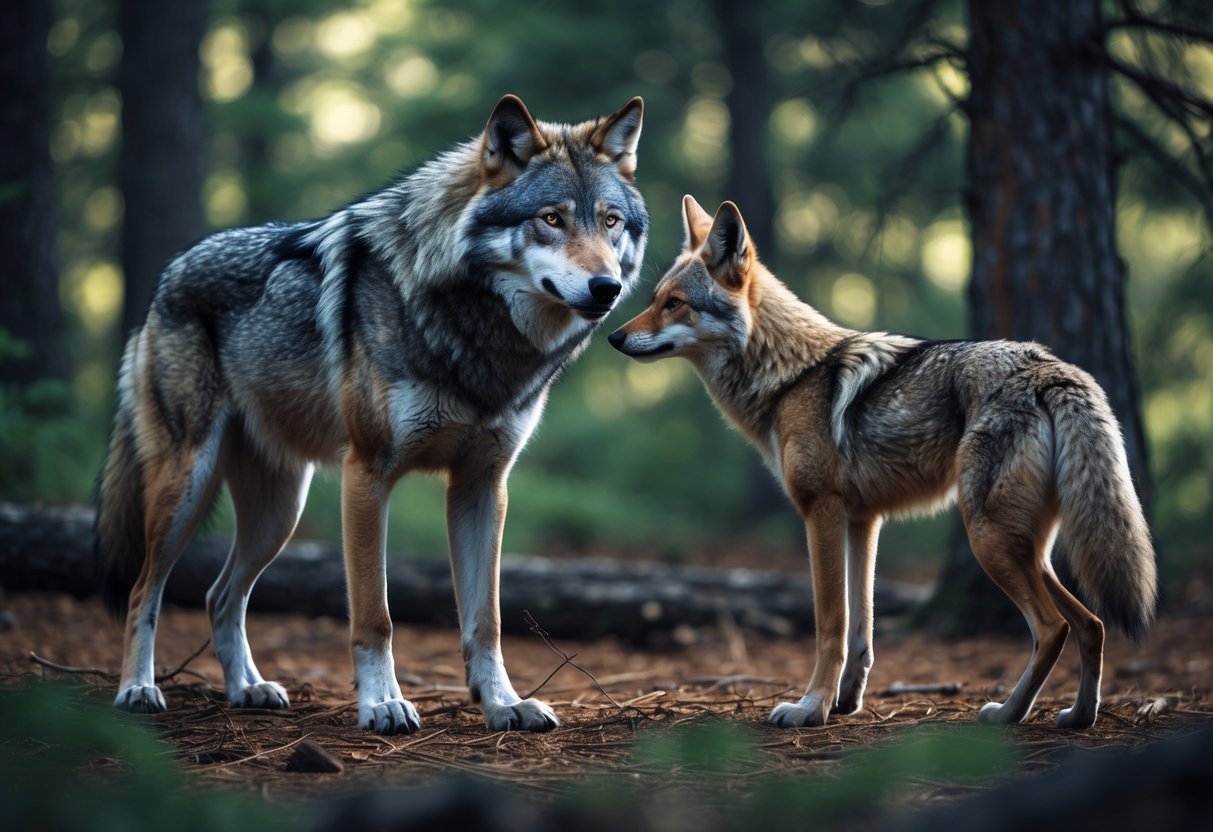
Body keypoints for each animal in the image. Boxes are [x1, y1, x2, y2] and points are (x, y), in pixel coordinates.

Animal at [96, 95, 647, 734]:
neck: (473, 333)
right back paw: (137, 689)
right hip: (188, 488)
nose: (606, 287)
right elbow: (375, 616)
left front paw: (504, 705)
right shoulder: (367, 474)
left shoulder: (483, 485)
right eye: (552, 219)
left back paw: (248, 689)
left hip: (279, 513)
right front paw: (382, 703)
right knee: (143, 590)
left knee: (219, 595)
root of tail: (167, 274)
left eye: (610, 221)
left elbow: (486, 620)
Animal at [609, 195, 1156, 729]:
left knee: (1053, 627)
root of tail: (1048, 369)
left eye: (674, 303)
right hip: (1027, 549)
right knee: (1093, 624)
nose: (613, 336)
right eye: (655, 298)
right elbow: (862, 630)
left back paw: (1008, 714)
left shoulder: (821, 513)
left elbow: (830, 625)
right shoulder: (862, 521)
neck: (790, 378)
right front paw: (845, 703)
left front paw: (810, 708)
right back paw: (1079, 716)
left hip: (989, 539)